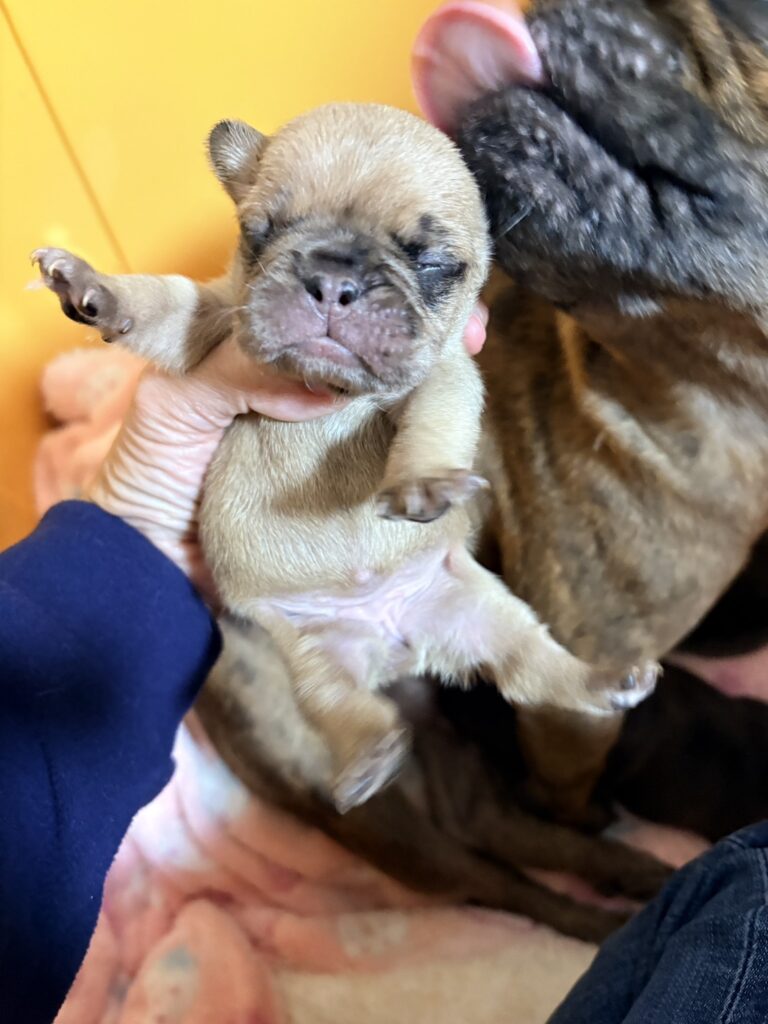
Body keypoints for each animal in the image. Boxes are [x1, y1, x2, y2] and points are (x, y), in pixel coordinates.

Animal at [33, 102, 652, 816]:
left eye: (433, 261)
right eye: (260, 231)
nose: (332, 279)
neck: (332, 396)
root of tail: (397, 645)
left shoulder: (447, 374)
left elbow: (435, 422)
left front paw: (422, 482)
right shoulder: (211, 320)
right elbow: (163, 302)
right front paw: (94, 286)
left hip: (483, 612)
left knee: (531, 668)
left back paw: (605, 679)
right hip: (307, 653)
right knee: (340, 706)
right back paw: (369, 757)